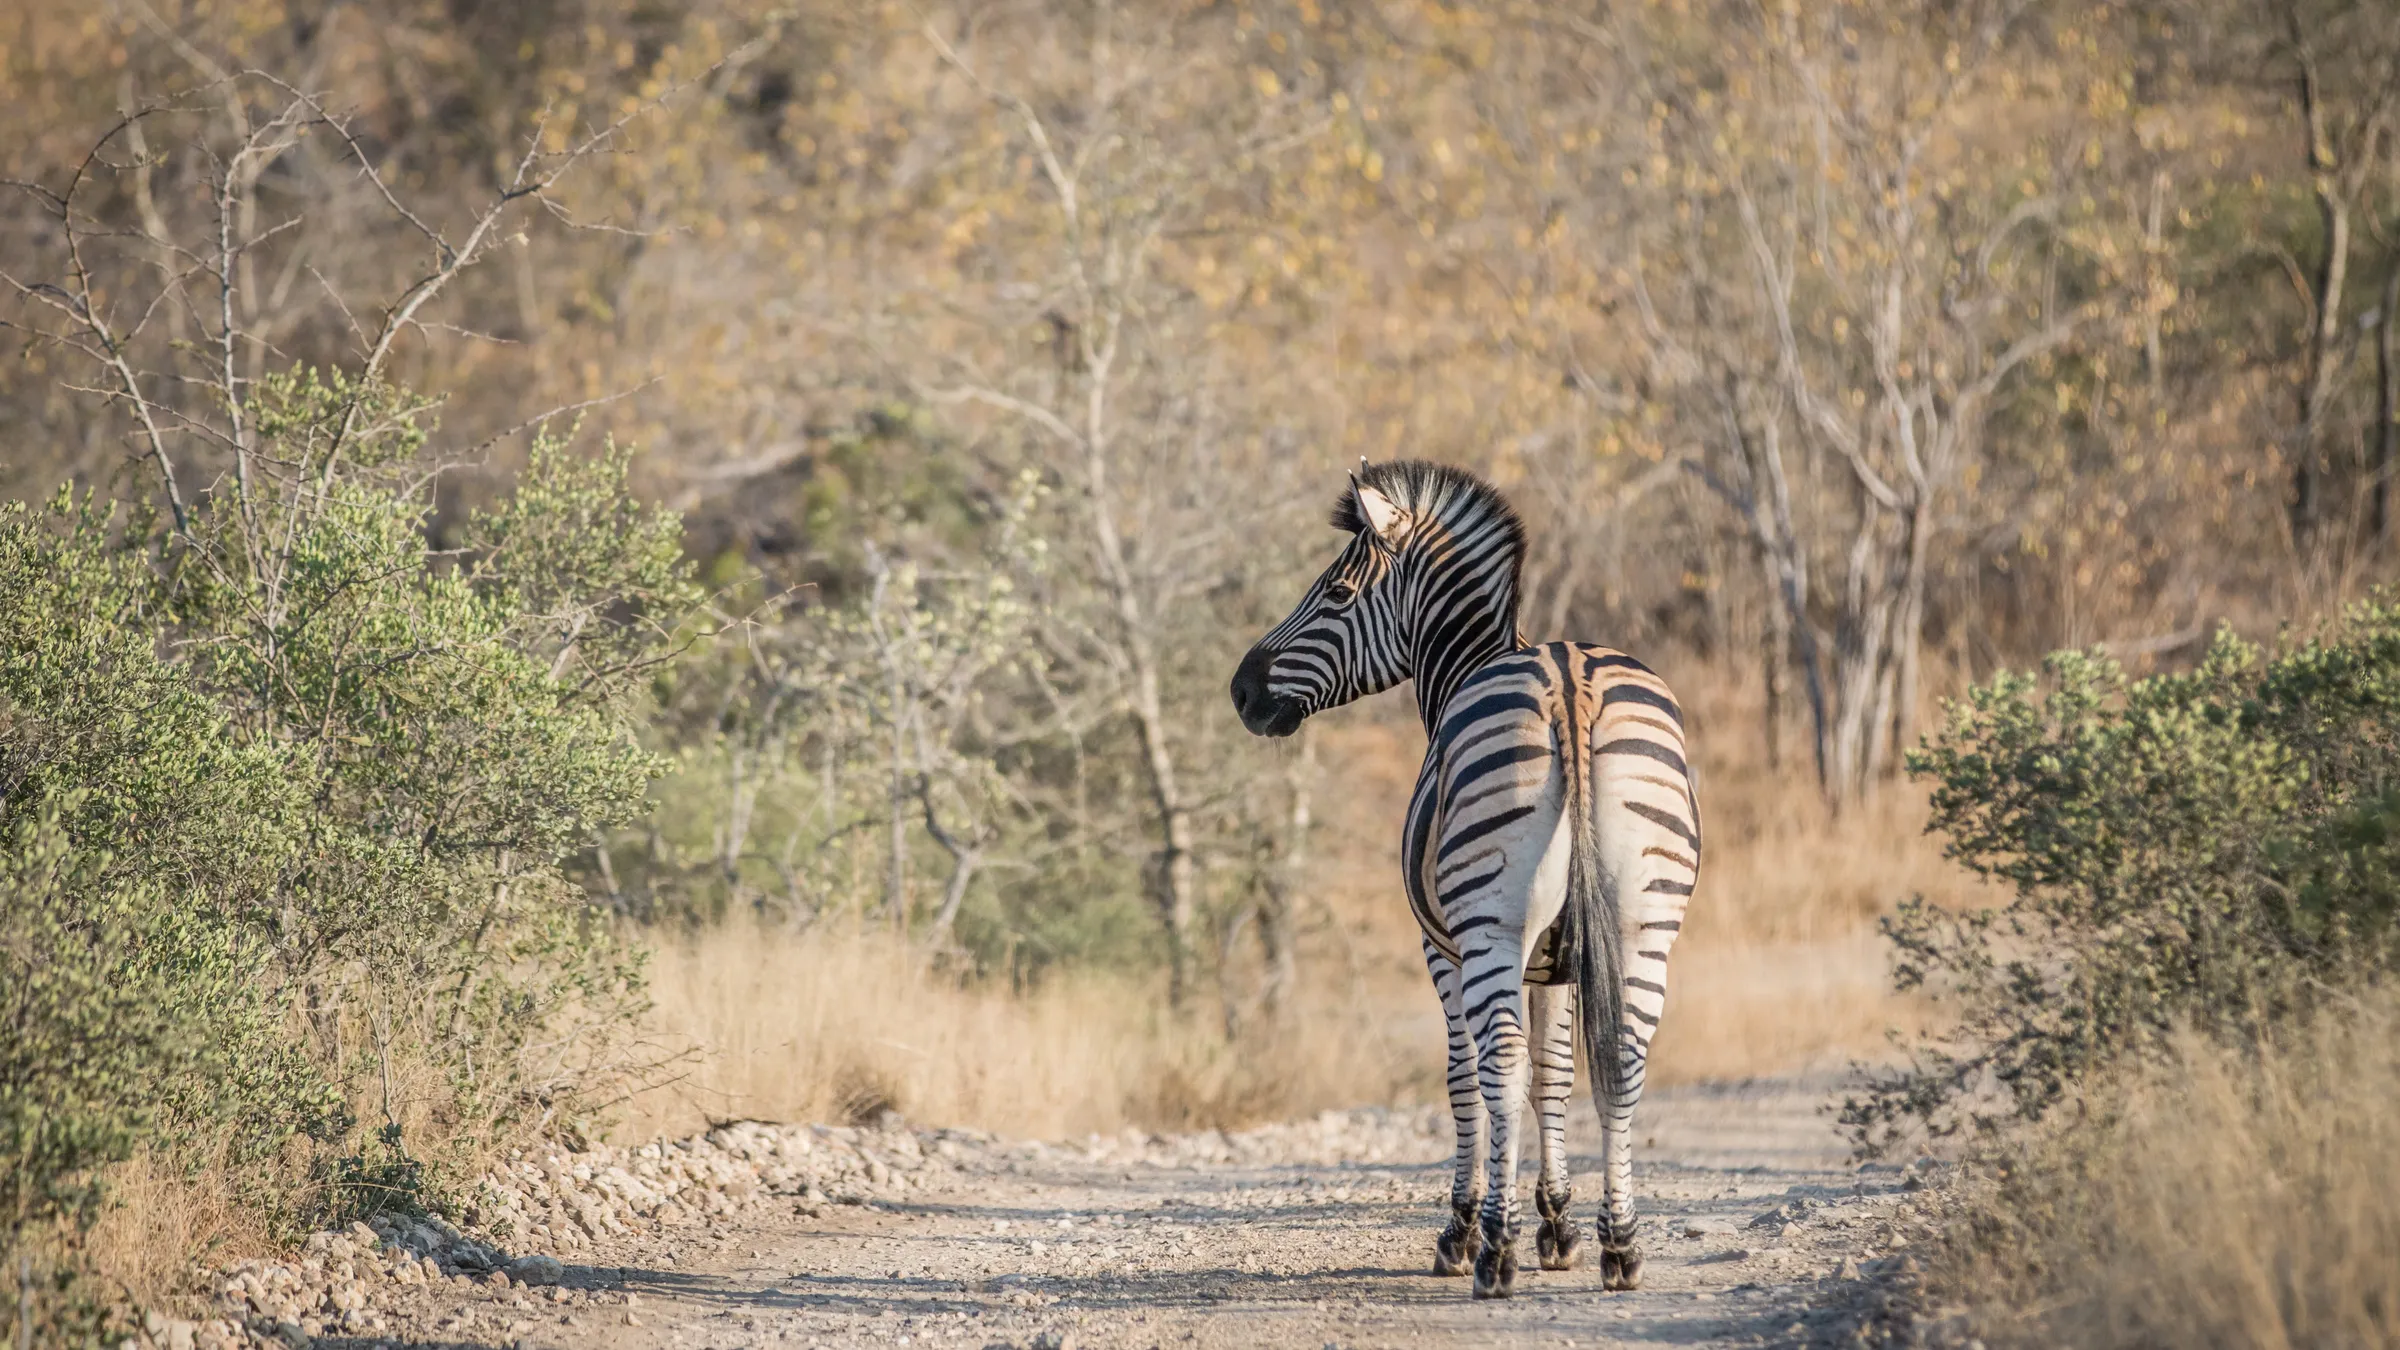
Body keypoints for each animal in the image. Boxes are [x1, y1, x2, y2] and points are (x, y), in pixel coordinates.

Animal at [1228, 460, 1699, 1299]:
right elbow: (1556, 1073)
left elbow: (1467, 1074)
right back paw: (1620, 1245)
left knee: (1498, 1061)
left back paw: (1493, 1254)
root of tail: (1569, 679)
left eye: (1335, 593)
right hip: (1644, 921)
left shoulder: (1439, 946)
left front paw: (1468, 1224)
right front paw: (1559, 1224)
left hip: (1487, 926)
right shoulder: (1559, 959)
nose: (1241, 692)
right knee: (1625, 1054)